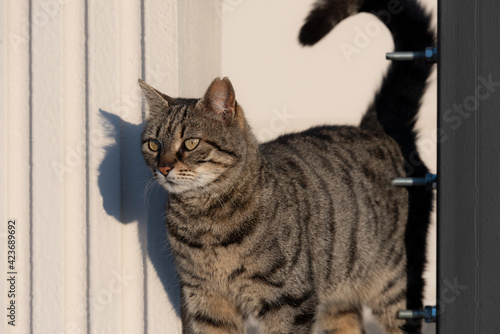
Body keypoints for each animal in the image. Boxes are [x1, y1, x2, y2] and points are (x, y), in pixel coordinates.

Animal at [140, 0, 434, 332]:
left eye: (190, 143)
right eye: (153, 145)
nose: (163, 168)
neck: (206, 220)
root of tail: (374, 127)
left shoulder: (289, 300)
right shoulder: (206, 300)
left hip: (395, 285)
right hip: (339, 300)